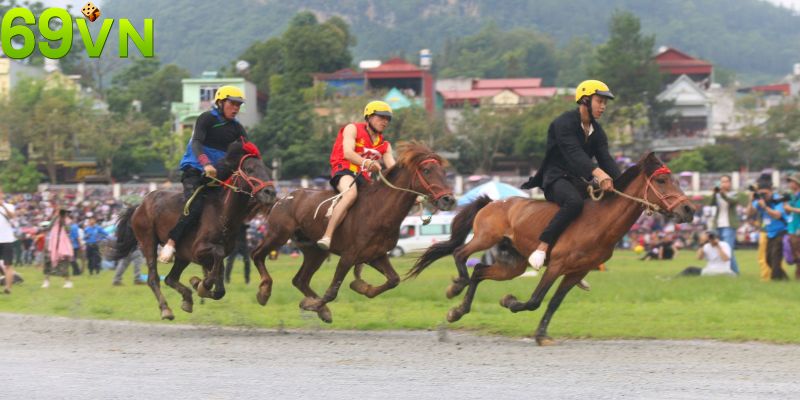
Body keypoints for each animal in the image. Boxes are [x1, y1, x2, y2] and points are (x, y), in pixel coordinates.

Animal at [110, 142, 276, 320]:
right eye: (249, 169)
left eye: (267, 169)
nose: (270, 193)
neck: (223, 213)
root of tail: (139, 205)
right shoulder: (198, 250)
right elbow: (216, 257)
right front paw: (202, 284)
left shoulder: (212, 255)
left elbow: (219, 287)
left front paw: (199, 284)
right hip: (147, 240)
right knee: (153, 278)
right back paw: (166, 308)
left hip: (182, 255)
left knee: (170, 278)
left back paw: (187, 298)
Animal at [253, 142, 460, 324]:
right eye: (426, 170)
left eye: (444, 172)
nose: (449, 200)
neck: (378, 210)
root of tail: (282, 198)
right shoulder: (349, 255)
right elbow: (332, 291)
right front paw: (312, 305)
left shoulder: (375, 255)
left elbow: (393, 279)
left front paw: (360, 286)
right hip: (278, 234)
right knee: (257, 255)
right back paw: (265, 291)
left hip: (315, 251)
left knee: (300, 280)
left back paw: (322, 309)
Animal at [406, 152, 692, 346]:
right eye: (663, 180)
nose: (689, 210)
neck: (599, 222)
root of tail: (493, 201)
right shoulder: (556, 265)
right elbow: (535, 300)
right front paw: (510, 302)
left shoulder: (576, 272)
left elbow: (553, 302)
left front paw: (541, 333)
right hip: (485, 237)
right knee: (461, 255)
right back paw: (456, 287)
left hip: (513, 264)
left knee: (479, 272)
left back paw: (459, 310)